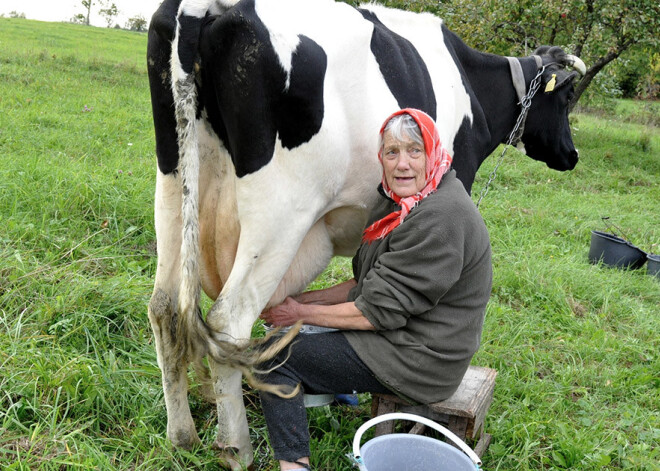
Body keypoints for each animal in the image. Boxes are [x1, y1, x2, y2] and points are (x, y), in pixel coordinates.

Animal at [147, 0, 584, 466]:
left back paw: (183, 435)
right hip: (280, 212)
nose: (571, 155)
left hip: (174, 182)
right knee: (227, 322)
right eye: (566, 97)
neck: (472, 85)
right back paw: (237, 449)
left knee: (166, 308)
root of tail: (206, 8)